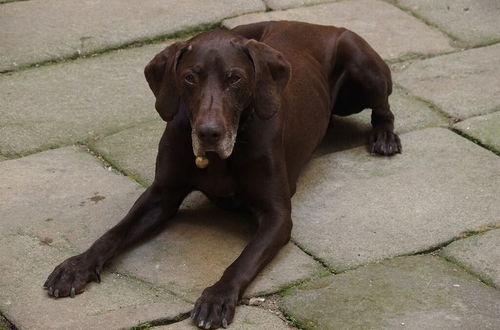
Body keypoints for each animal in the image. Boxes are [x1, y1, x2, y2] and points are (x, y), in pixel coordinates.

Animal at [45, 21, 400, 330]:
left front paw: (217, 297)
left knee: (384, 108)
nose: (209, 133)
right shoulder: (161, 194)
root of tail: (311, 24)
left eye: (235, 78)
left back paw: (384, 137)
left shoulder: (276, 215)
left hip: (362, 67)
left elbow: (242, 261)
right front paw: (78, 265)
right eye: (190, 77)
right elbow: (114, 232)